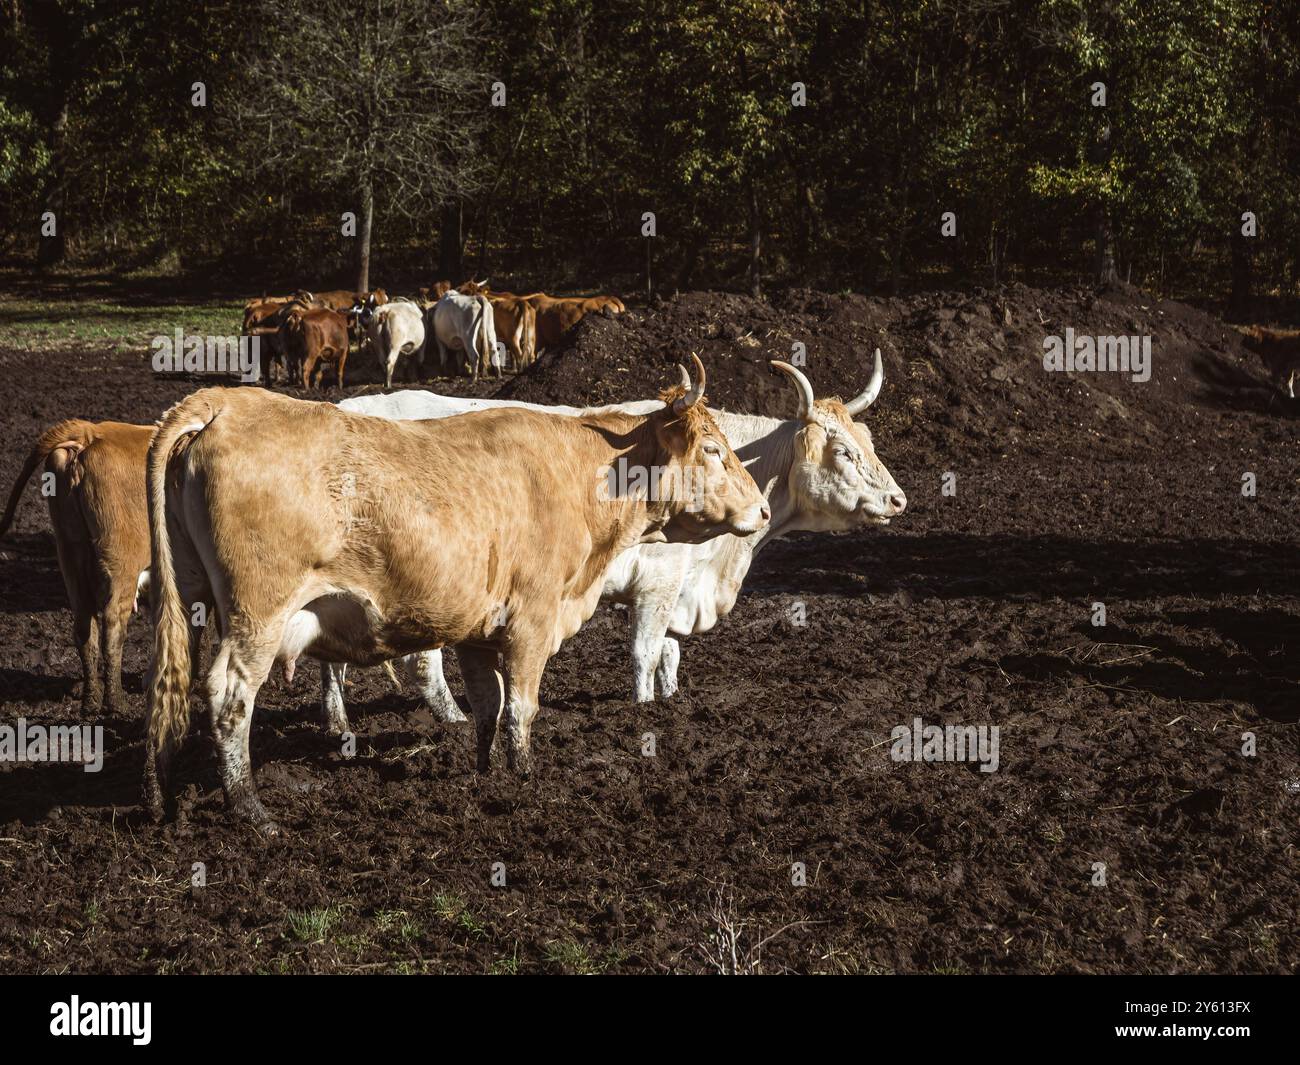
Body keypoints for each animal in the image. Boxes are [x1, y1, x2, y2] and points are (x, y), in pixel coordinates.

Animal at [0, 421, 153, 712]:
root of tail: (90, 432)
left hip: (71, 553)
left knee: (84, 627)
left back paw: (91, 700)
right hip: (122, 563)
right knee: (112, 626)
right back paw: (116, 702)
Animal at [142, 361, 769, 832]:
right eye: (712, 448)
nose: (763, 509)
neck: (577, 472)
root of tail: (223, 402)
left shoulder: (477, 632)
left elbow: (489, 705)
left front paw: (486, 772)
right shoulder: (532, 621)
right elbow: (521, 707)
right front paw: (524, 780)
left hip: (189, 603)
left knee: (167, 684)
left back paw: (159, 793)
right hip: (258, 614)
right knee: (229, 696)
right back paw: (250, 808)